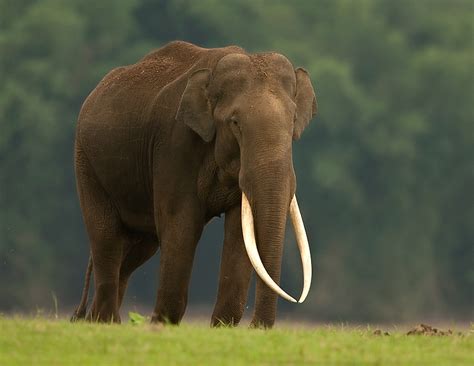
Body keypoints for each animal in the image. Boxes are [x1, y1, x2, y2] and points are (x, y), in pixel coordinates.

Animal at [72, 40, 316, 328]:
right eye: (235, 123)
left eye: (293, 121)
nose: (256, 327)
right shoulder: (174, 146)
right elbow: (181, 225)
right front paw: (162, 324)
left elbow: (239, 231)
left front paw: (221, 327)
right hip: (87, 165)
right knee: (107, 240)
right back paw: (106, 321)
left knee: (137, 249)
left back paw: (96, 320)